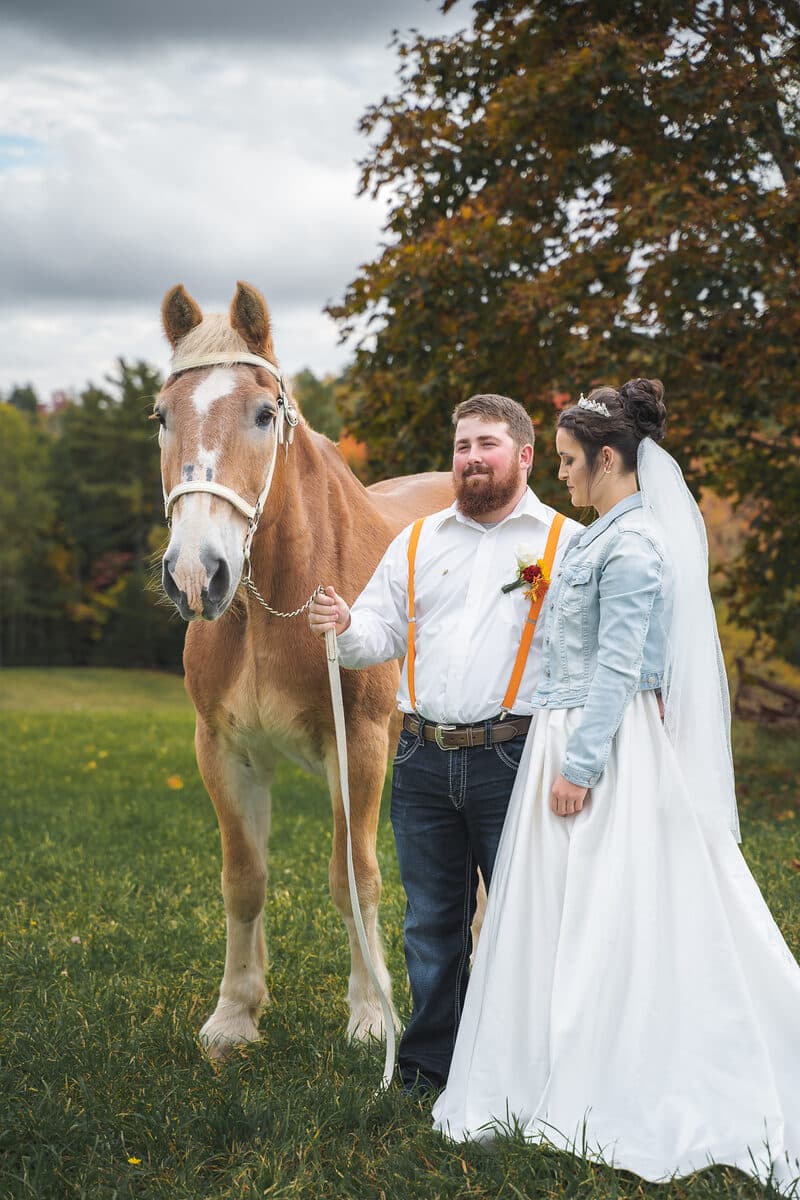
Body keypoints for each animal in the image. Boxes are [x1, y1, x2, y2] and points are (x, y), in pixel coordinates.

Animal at [155, 280, 453, 1058]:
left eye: (264, 413)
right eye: (162, 416)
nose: (196, 575)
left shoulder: (362, 746)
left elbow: (355, 876)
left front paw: (373, 1015)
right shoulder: (224, 750)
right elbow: (244, 879)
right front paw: (235, 1013)